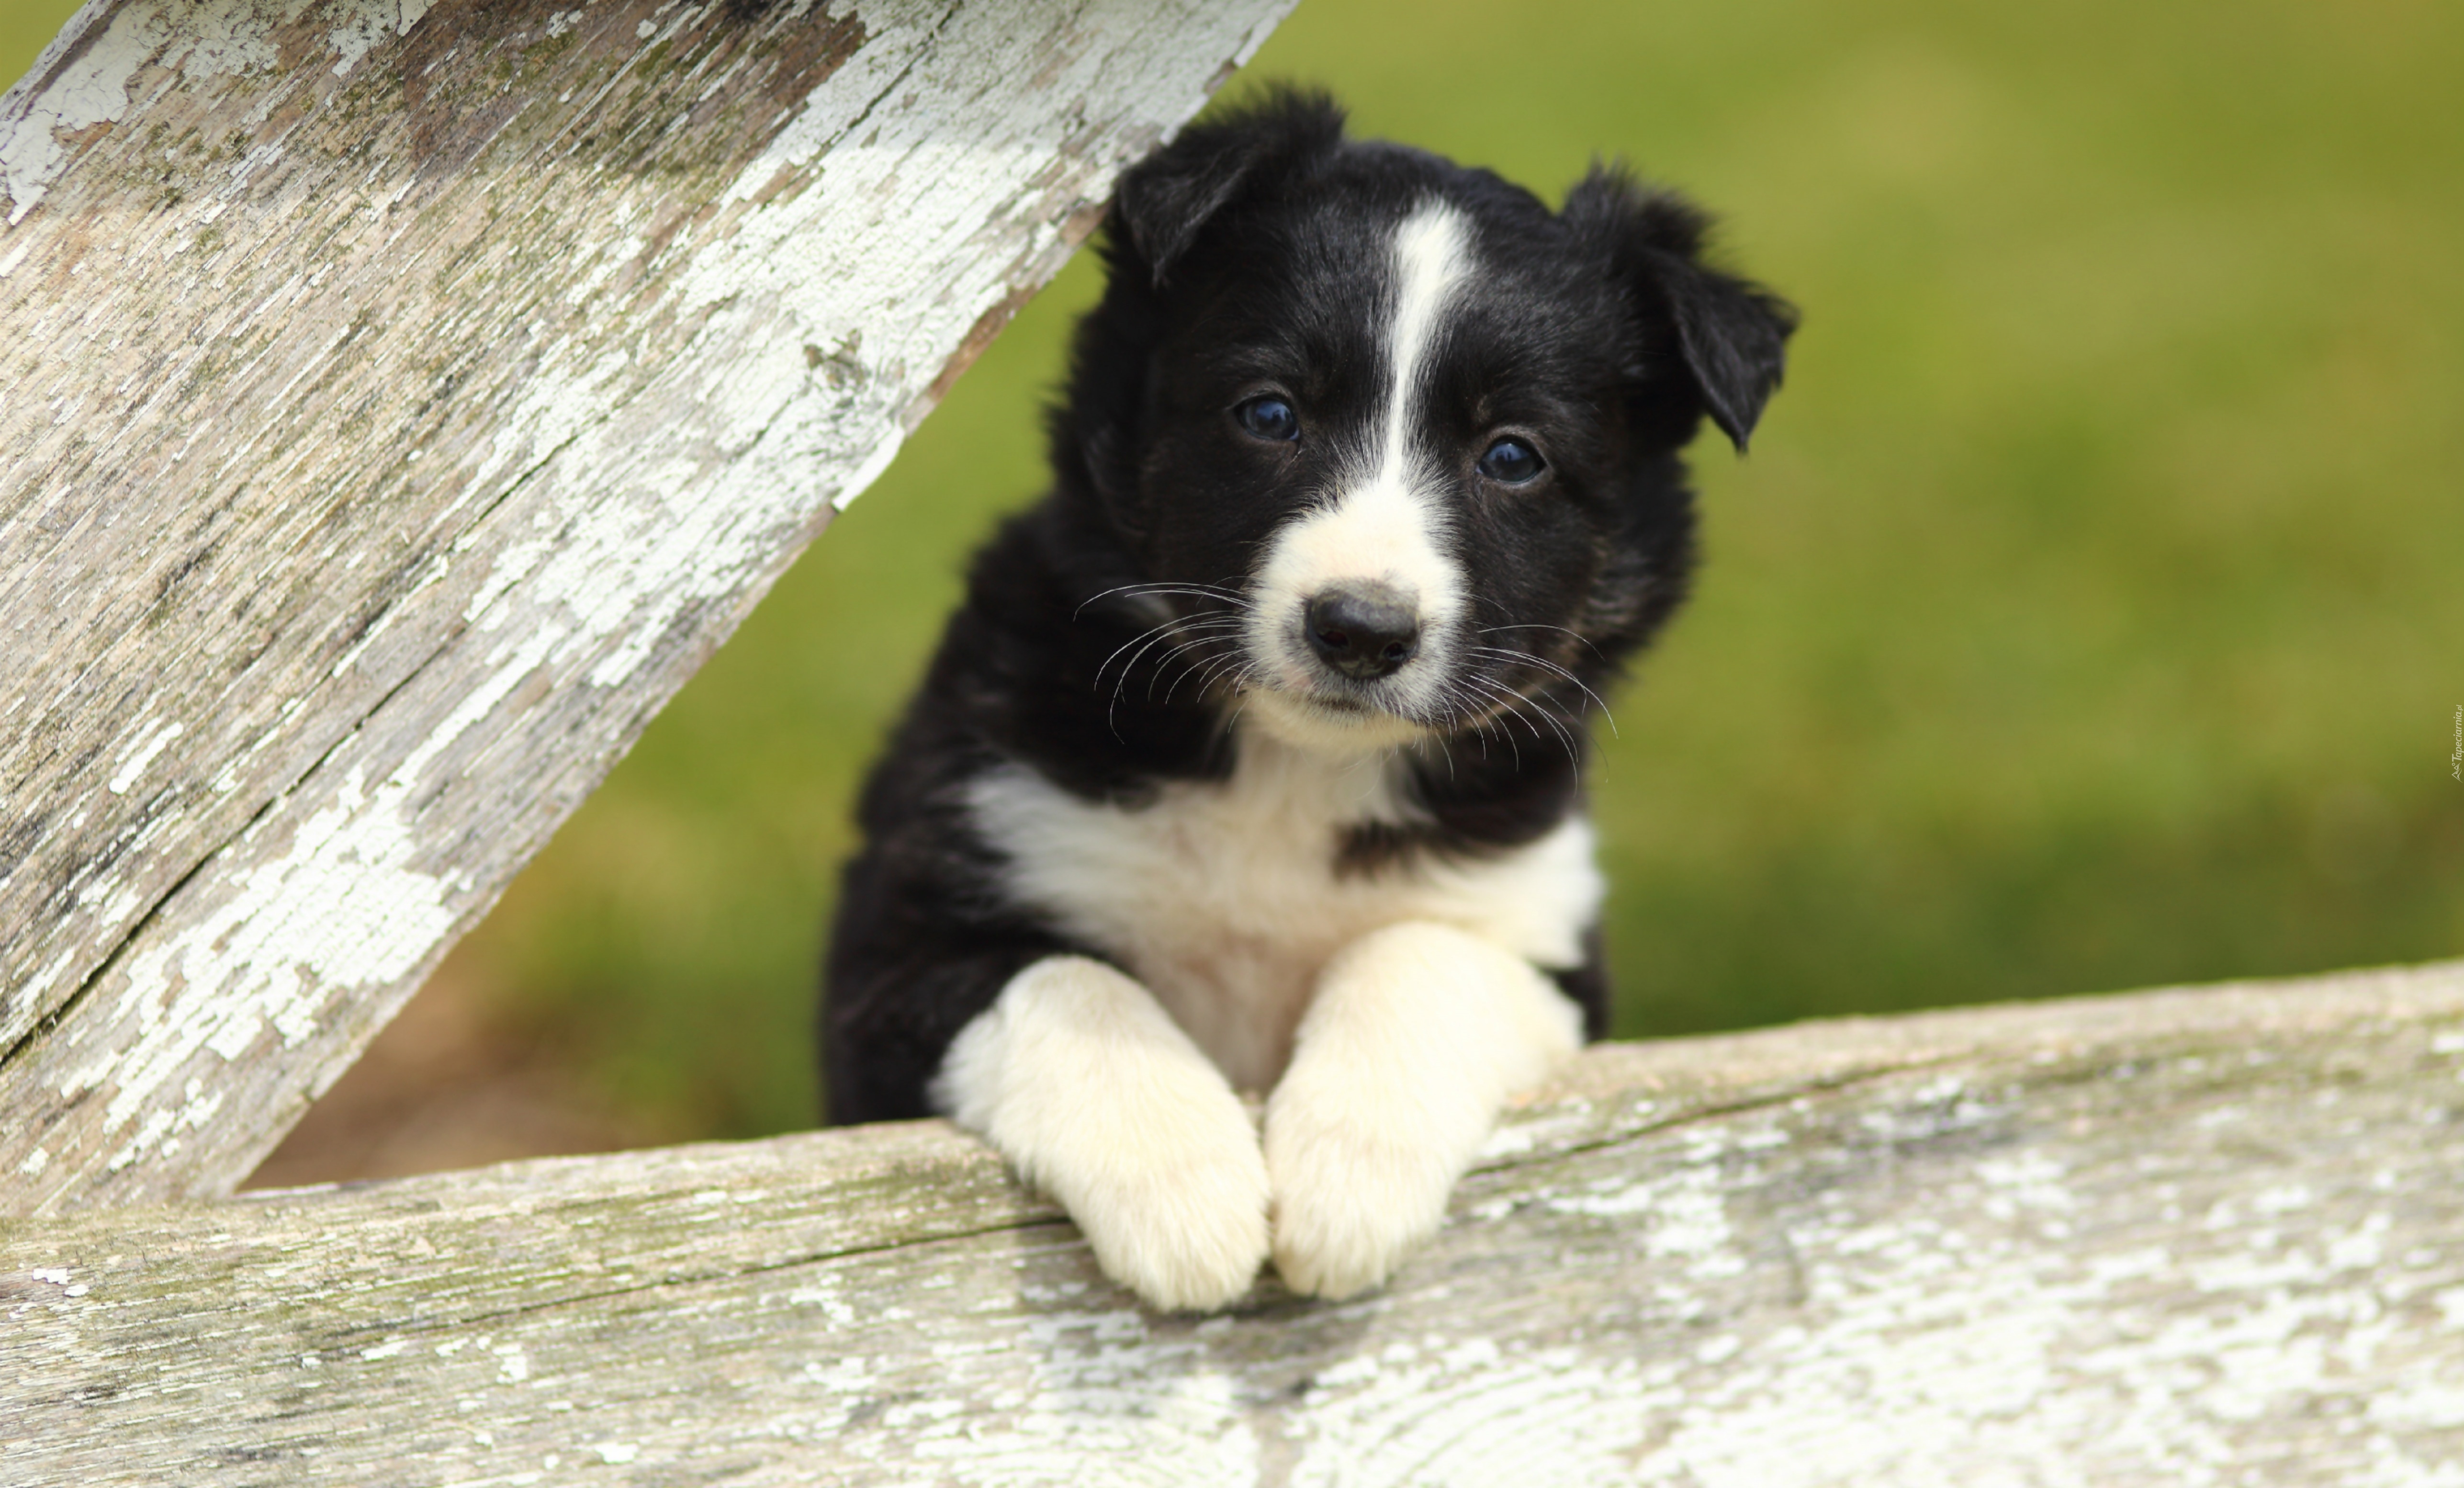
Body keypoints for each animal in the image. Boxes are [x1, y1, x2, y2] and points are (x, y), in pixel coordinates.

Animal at [823, 93, 1794, 1310]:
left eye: (1511, 457)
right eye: (1270, 413)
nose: (1361, 631)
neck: (1291, 770)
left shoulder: (1544, 938)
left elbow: (1420, 955)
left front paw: (1347, 1182)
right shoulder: (900, 941)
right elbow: (1066, 981)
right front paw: (1183, 1187)